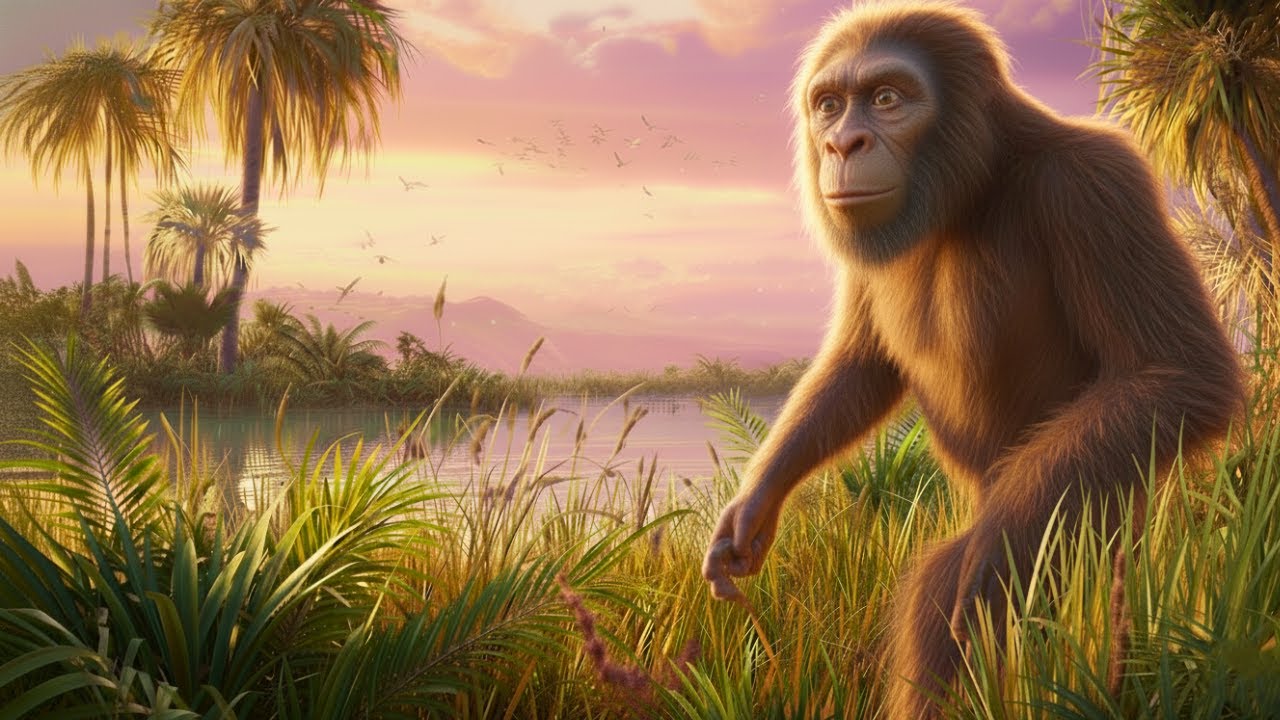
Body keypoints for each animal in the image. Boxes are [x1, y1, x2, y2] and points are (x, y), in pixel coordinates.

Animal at [701, 2, 1243, 717]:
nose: (843, 144)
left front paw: (1000, 547)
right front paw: (754, 505)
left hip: (1115, 552)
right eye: (829, 105)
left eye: (887, 98)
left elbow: (1178, 373)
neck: (976, 185)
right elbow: (860, 366)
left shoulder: (1096, 183)